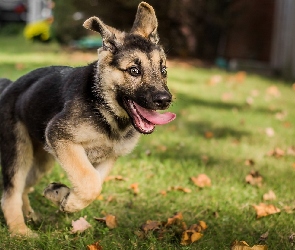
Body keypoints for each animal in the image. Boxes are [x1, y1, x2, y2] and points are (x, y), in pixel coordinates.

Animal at [0, 1, 176, 236]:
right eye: (134, 71)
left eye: (163, 70)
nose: (165, 100)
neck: (105, 110)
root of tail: (9, 85)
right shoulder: (61, 137)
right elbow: (89, 181)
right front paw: (69, 203)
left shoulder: (108, 156)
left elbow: (95, 182)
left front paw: (63, 195)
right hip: (19, 151)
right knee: (11, 193)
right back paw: (21, 232)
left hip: (41, 160)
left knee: (24, 189)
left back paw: (30, 215)